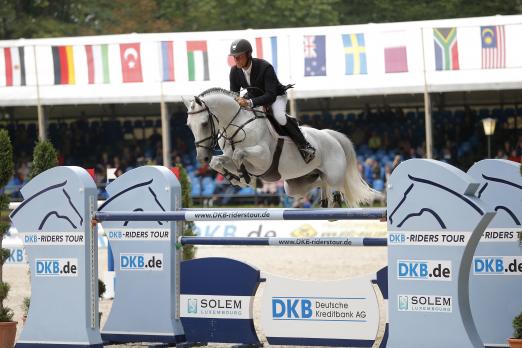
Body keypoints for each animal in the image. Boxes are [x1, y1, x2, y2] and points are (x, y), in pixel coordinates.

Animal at [183, 87, 374, 207]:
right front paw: (235, 178)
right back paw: (325, 202)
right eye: (188, 125)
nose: (201, 158)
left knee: (335, 183)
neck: (237, 126)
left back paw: (334, 200)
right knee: (320, 181)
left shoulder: (263, 159)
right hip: (296, 186)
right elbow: (217, 162)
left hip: (334, 174)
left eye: (204, 123)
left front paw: (245, 178)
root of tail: (330, 136)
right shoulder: (228, 157)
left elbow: (239, 155)